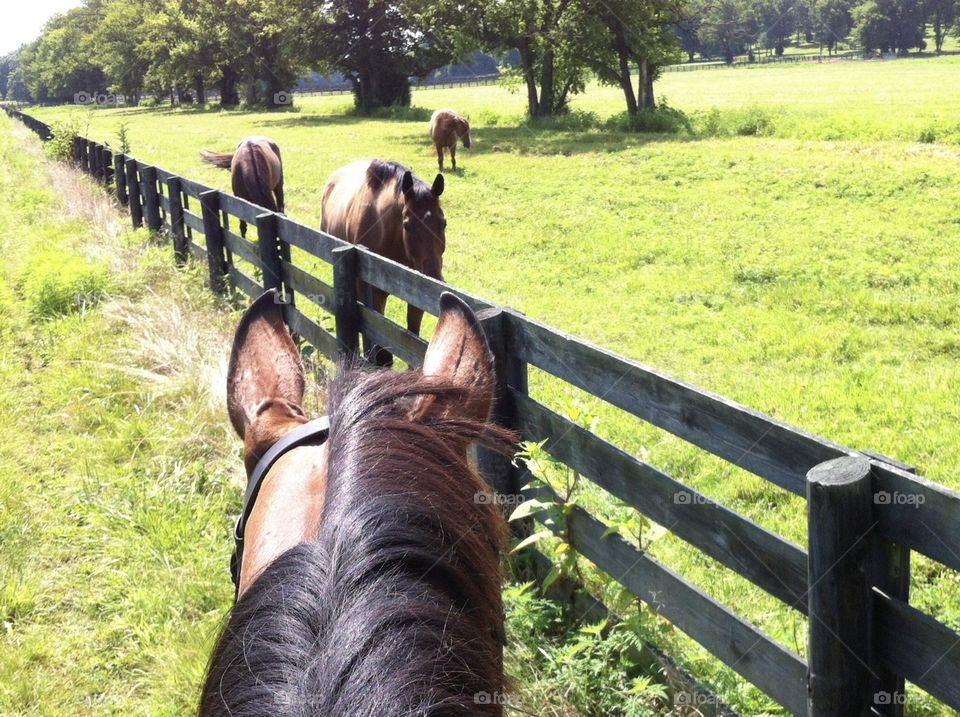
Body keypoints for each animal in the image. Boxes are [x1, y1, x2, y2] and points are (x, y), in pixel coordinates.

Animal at [321, 159, 445, 364]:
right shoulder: (373, 292)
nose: (433, 277)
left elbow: (413, 336)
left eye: (443, 223)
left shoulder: (416, 292)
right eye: (407, 225)